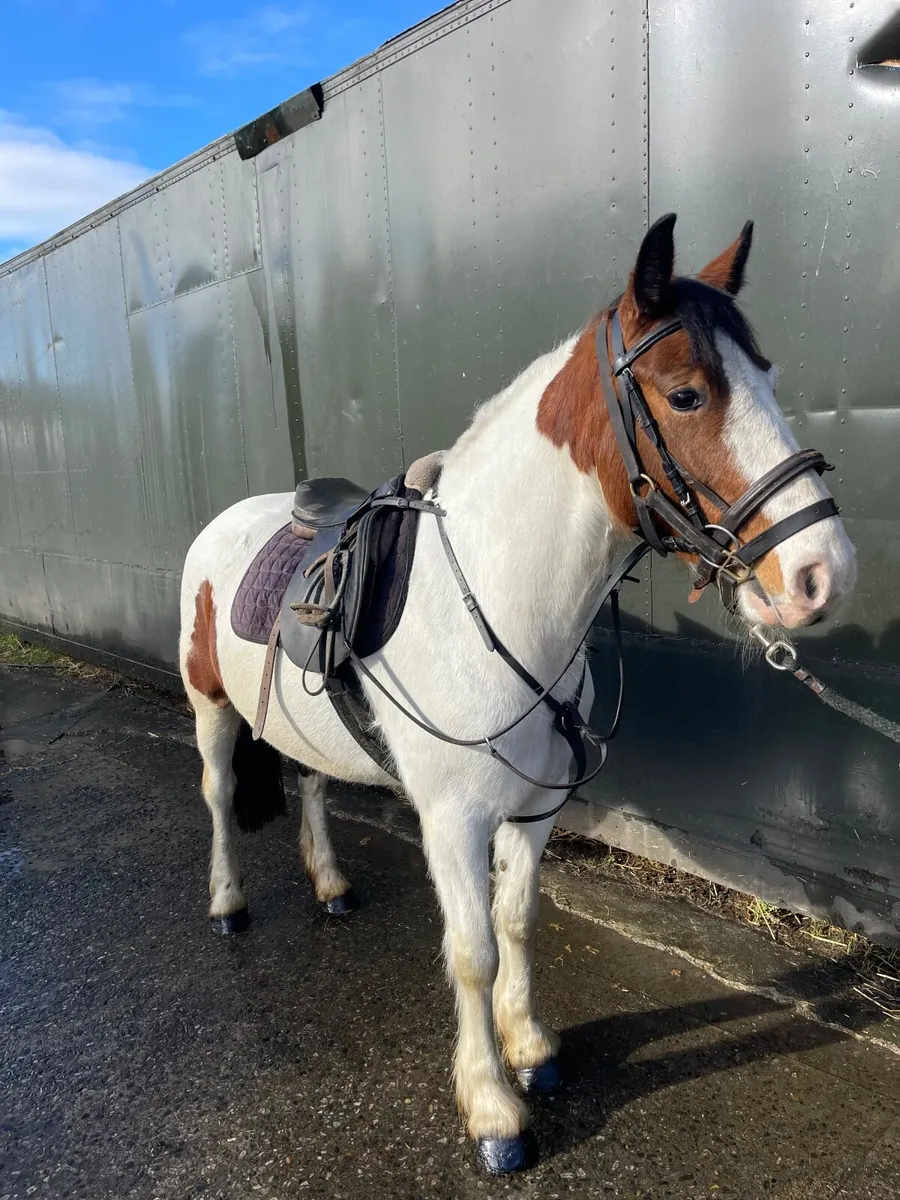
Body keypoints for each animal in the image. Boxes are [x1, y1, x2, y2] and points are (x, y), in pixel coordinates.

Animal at [178, 213, 857, 1174]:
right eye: (687, 394)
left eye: (768, 377)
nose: (821, 574)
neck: (496, 600)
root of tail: (227, 520)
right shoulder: (454, 819)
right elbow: (472, 951)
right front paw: (493, 1108)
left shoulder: (535, 810)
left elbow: (519, 923)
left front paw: (530, 1047)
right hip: (209, 708)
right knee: (215, 795)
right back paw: (228, 903)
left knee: (310, 785)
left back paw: (332, 884)